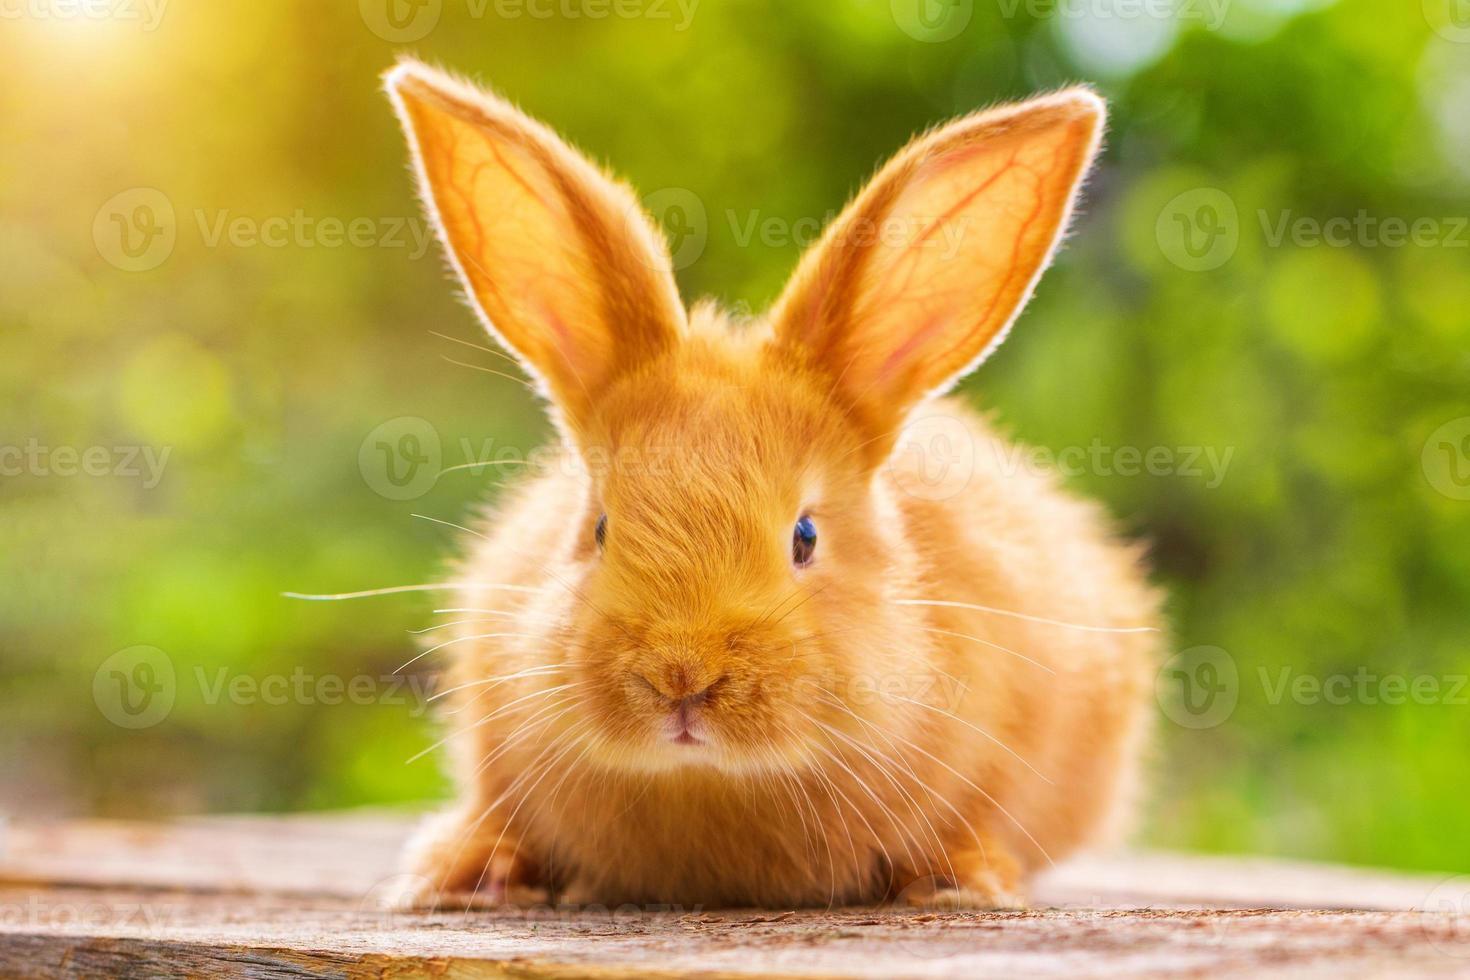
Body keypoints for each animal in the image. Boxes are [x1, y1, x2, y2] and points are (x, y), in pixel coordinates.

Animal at [382, 57, 1158, 910]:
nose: (680, 678)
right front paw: (456, 875)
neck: (709, 787)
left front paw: (962, 881)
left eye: (805, 537)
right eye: (598, 529)